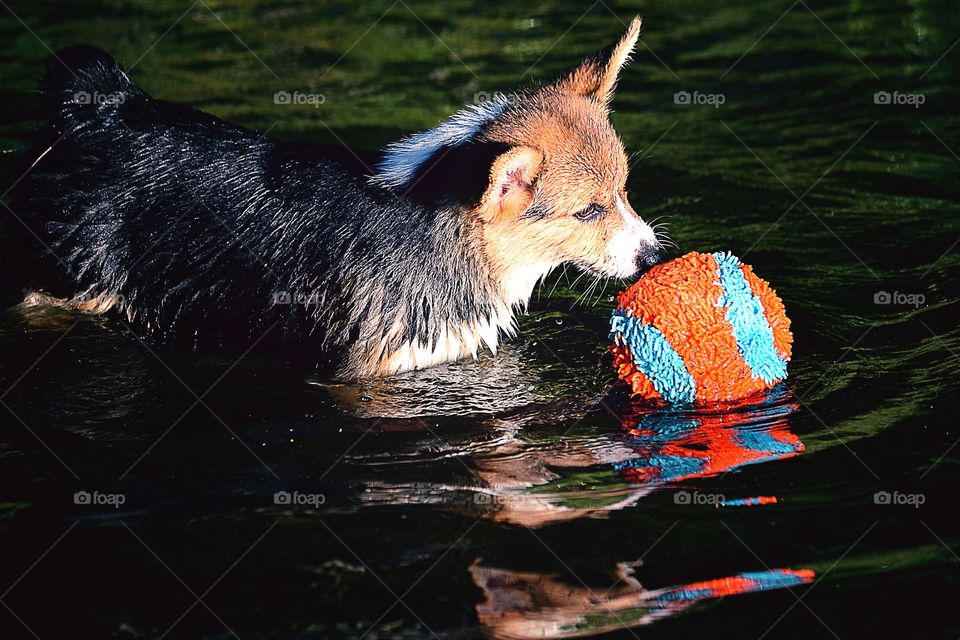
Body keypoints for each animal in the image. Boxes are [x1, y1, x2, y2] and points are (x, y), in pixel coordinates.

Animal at [11, 17, 664, 378]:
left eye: (624, 192)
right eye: (588, 211)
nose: (653, 256)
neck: (452, 233)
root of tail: (106, 108)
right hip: (75, 284)